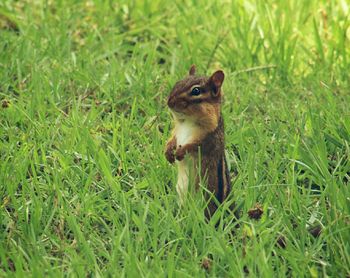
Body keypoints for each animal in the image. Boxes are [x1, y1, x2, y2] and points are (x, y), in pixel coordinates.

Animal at [164, 65, 235, 219]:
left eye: (196, 91)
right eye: (178, 82)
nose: (169, 102)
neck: (187, 122)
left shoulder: (209, 139)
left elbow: (194, 146)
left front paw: (180, 152)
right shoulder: (177, 131)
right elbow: (172, 139)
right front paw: (168, 151)